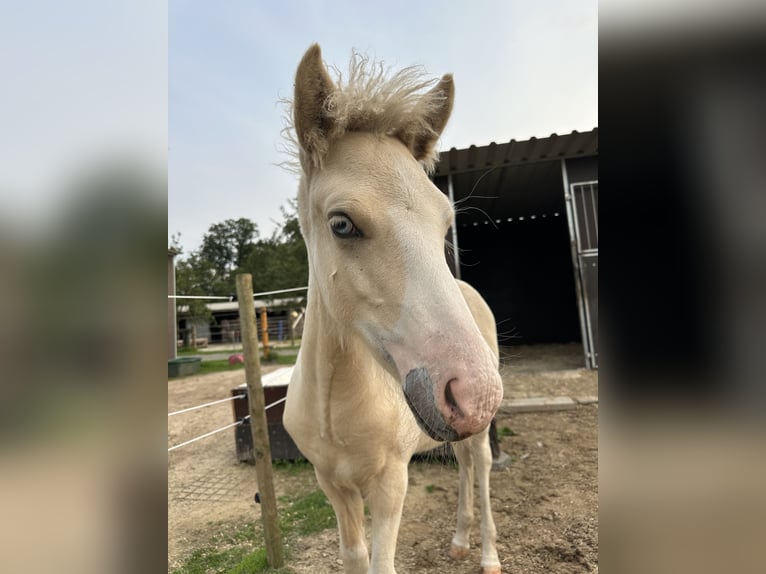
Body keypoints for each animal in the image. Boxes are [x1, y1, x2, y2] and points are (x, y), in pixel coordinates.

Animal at [284, 45, 508, 574]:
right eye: (341, 224)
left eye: (445, 223)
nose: (476, 394)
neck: (335, 404)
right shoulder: (333, 486)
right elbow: (354, 557)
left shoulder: (391, 485)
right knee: (463, 464)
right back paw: (459, 540)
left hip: (474, 436)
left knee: (482, 467)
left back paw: (487, 553)